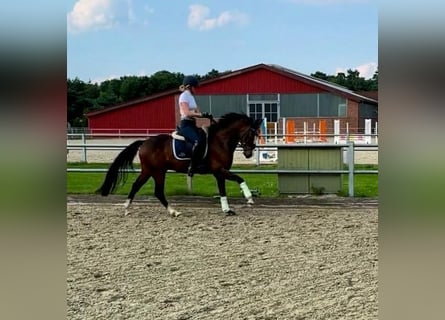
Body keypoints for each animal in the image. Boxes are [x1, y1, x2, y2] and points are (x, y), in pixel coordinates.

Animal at [96, 112, 264, 215]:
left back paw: (127, 208)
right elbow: (240, 179)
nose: (249, 154)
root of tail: (144, 142)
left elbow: (223, 191)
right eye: (251, 133)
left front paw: (227, 210)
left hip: (149, 171)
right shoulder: (219, 169)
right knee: (157, 191)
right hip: (157, 171)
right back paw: (173, 211)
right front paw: (249, 198)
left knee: (137, 186)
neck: (220, 141)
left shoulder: (219, 173)